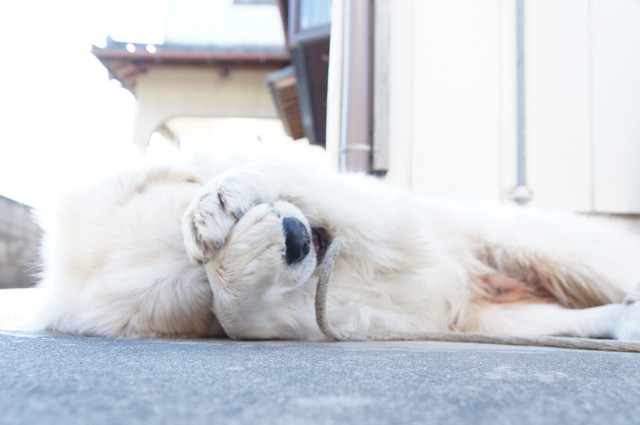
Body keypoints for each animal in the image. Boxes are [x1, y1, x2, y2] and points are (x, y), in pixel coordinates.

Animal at [36, 155, 640, 340]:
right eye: (198, 289)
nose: (296, 238)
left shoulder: (378, 212)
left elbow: (288, 171)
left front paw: (221, 197)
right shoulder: (322, 314)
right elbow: (243, 317)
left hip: (551, 251)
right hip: (496, 319)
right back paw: (625, 326)